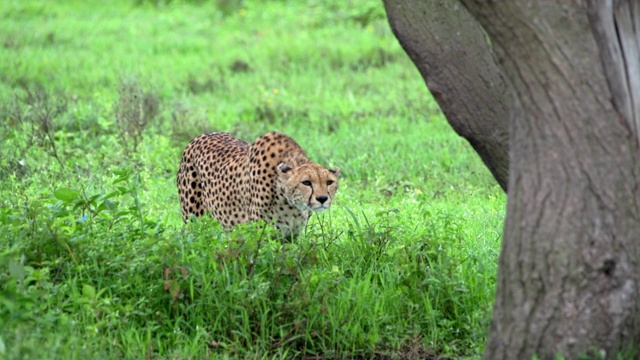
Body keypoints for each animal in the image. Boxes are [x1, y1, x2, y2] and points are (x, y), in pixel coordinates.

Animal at [178, 131, 340, 238]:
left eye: (329, 182)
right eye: (306, 182)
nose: (322, 199)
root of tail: (201, 135)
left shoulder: (290, 236)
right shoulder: (261, 232)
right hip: (194, 220)